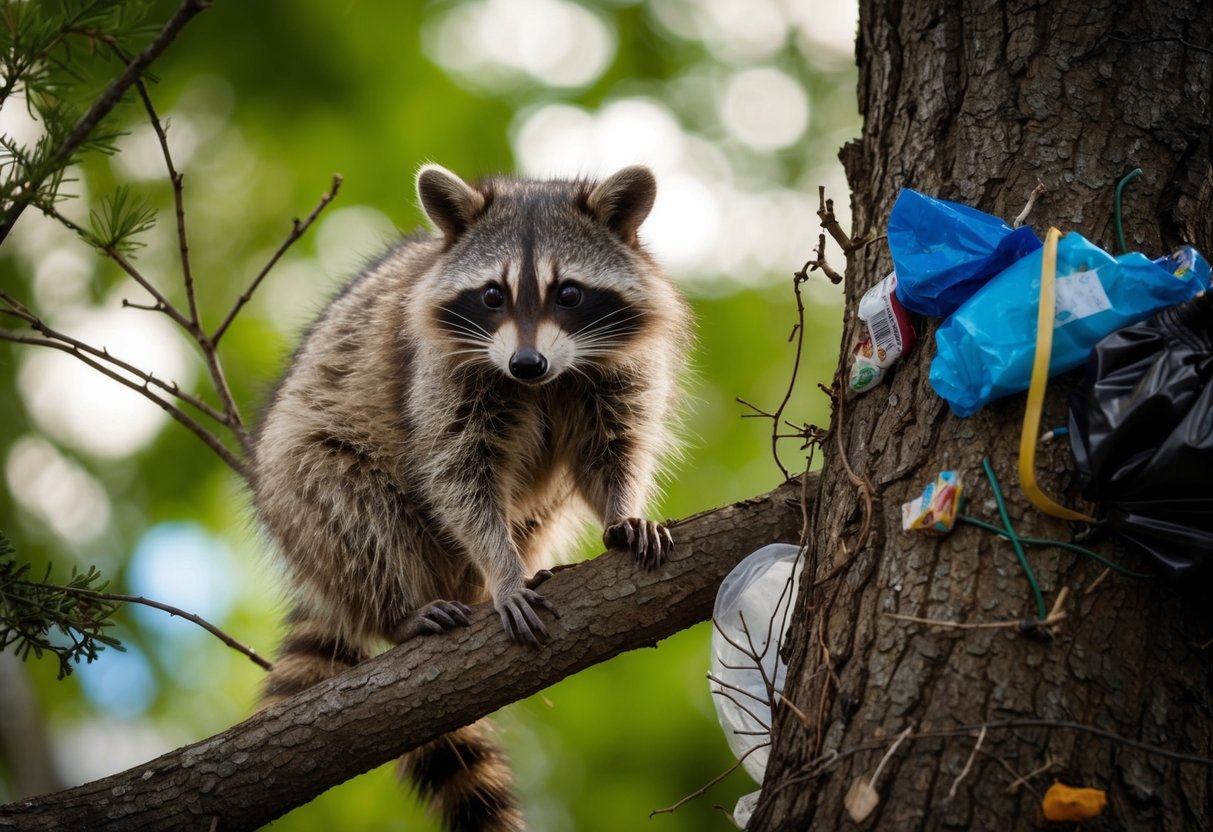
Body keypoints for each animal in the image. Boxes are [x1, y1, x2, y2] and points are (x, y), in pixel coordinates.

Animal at [252, 164, 692, 831]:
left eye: (569, 294)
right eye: (492, 295)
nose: (527, 363)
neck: (544, 379)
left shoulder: (619, 368)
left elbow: (611, 448)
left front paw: (623, 511)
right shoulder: (438, 371)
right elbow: (458, 476)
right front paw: (504, 570)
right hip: (298, 480)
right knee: (352, 507)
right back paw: (401, 609)